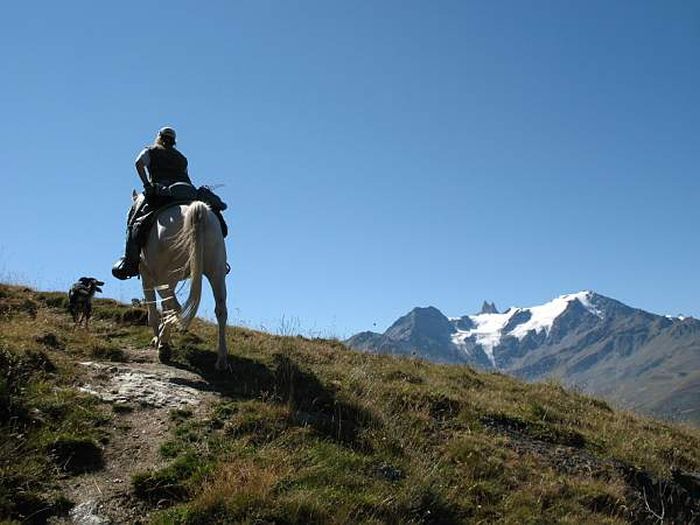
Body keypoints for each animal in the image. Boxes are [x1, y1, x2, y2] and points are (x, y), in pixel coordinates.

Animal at [138, 193, 231, 372]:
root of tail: (199, 211)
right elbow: (164, 308)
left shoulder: (147, 276)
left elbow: (153, 311)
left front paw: (157, 338)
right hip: (216, 272)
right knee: (221, 310)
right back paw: (222, 360)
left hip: (165, 277)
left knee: (175, 306)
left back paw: (163, 347)